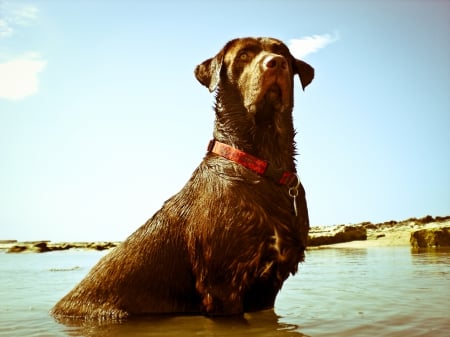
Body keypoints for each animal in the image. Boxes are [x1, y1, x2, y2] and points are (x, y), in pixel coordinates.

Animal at [51, 37, 312, 320]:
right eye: (243, 55)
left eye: (281, 52)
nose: (276, 63)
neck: (262, 164)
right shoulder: (222, 285)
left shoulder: (267, 288)